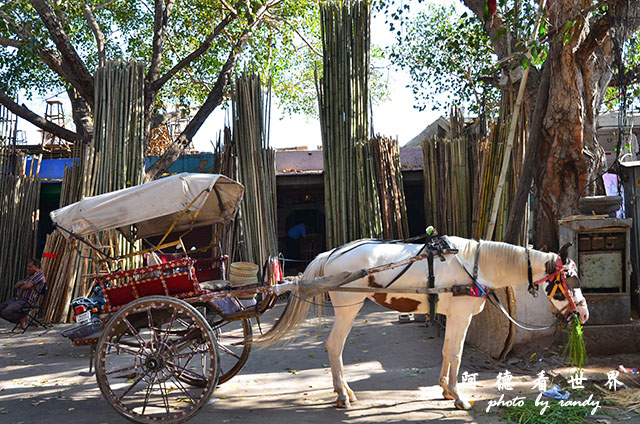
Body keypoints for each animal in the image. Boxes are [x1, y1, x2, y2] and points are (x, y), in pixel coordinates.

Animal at [258, 237, 588, 410]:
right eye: (570, 280)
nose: (583, 315)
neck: (477, 266)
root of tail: (331, 254)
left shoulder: (453, 316)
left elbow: (446, 351)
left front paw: (445, 389)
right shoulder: (461, 316)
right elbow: (456, 353)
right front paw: (459, 397)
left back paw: (346, 393)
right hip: (348, 307)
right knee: (334, 346)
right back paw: (342, 394)